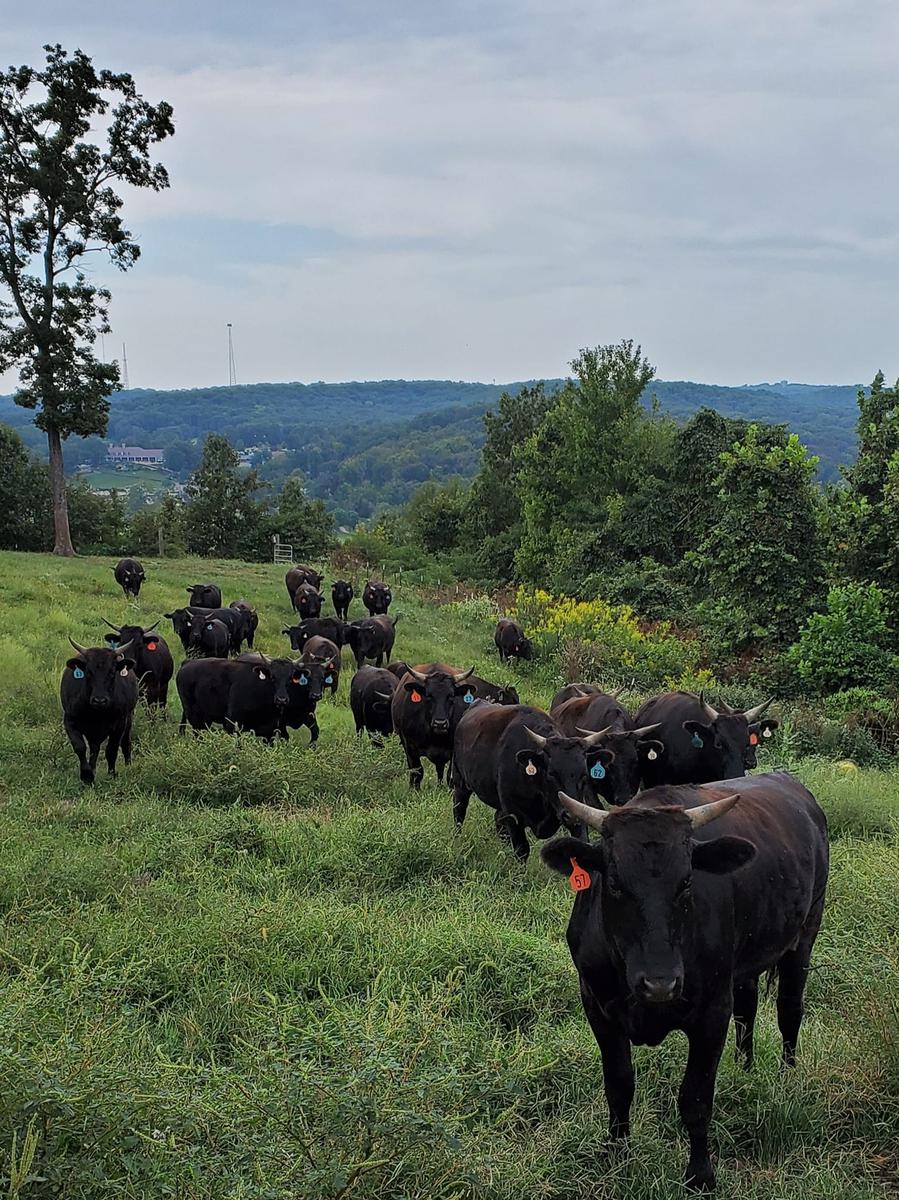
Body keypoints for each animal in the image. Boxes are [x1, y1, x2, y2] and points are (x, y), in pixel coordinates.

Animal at [61, 638, 138, 787]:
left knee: (125, 743)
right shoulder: (69, 720)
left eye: (112, 672)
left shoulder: (120, 723)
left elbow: (112, 749)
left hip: (129, 719)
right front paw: (87, 775)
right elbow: (80, 747)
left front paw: (112, 774)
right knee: (94, 749)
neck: (97, 713)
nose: (99, 700)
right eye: (88, 672)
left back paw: (128, 765)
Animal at [393, 662, 477, 792]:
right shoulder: (409, 746)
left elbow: (449, 776)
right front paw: (414, 790)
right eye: (428, 695)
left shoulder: (453, 751)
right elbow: (417, 771)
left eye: (451, 696)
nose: (440, 723)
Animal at [448, 700, 609, 864]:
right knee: (459, 812)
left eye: (584, 774)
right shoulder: (514, 815)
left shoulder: (579, 810)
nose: (571, 816)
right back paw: (457, 839)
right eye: (551, 773)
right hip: (460, 783)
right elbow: (522, 850)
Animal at [540, 772, 825, 1195]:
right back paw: (743, 1069)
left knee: (789, 1009)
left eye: (688, 881)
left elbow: (695, 1098)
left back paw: (786, 1078)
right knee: (748, 1007)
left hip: (804, 936)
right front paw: (617, 1154)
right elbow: (618, 1084)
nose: (659, 983)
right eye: (615, 883)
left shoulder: (711, 1014)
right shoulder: (597, 1007)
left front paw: (700, 1175)